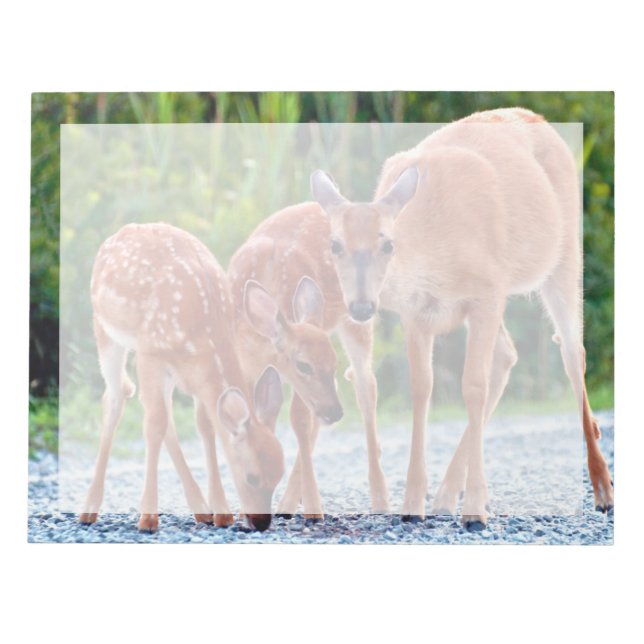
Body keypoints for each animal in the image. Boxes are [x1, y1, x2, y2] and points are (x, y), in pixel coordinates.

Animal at [79, 222, 285, 532]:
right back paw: (89, 509)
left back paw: (200, 508)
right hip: (105, 329)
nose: (261, 523)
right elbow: (153, 426)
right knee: (117, 397)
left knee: (163, 415)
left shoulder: (196, 374)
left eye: (280, 474)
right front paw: (147, 518)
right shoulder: (150, 351)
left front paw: (221, 512)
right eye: (252, 477)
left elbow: (205, 426)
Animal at [227, 203, 390, 518]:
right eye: (303, 364)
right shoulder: (245, 363)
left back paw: (380, 500)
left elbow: (299, 421)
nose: (336, 413)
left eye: (333, 363)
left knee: (366, 385)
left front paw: (314, 508)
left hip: (358, 315)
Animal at [311, 107, 614, 530]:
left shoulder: (486, 292)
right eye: (335, 245)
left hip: (564, 255)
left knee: (573, 353)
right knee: (508, 354)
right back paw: (442, 497)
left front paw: (475, 510)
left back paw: (603, 490)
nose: (360, 306)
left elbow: (473, 387)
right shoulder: (416, 313)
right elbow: (422, 389)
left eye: (387, 244)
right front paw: (413, 504)